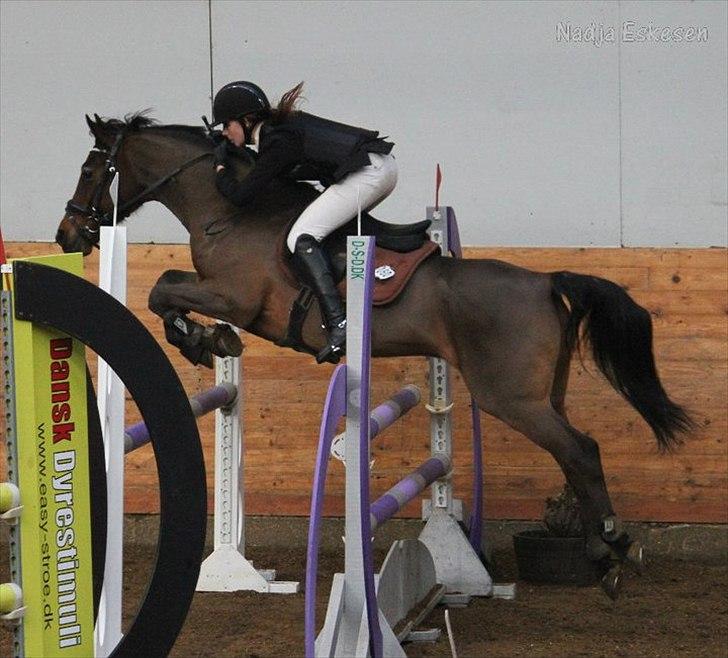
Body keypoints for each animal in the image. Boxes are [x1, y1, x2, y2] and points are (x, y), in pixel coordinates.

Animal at [56, 112, 694, 598]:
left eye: (90, 169)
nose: (67, 235)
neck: (229, 211)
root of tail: (543, 282)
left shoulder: (234, 297)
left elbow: (162, 288)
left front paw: (203, 340)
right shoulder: (224, 295)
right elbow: (166, 289)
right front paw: (209, 341)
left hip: (511, 397)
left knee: (581, 450)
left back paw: (609, 548)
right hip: (542, 394)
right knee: (573, 453)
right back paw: (601, 550)